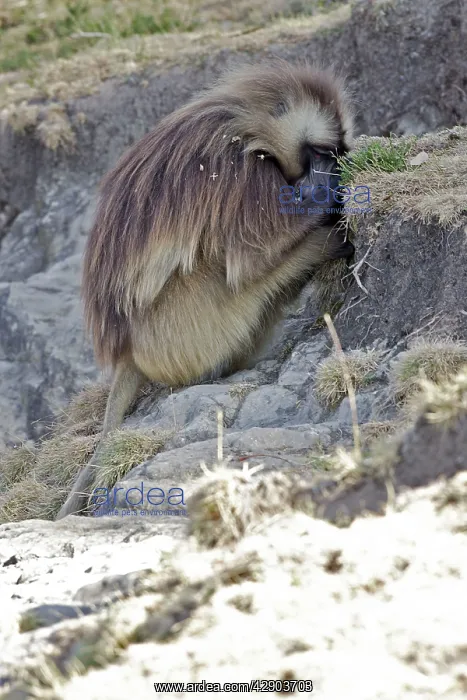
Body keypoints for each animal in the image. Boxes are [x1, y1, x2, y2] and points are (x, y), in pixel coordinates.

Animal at [56, 60, 355, 520]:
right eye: (321, 152)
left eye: (336, 152)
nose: (327, 177)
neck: (244, 126)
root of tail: (126, 352)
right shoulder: (244, 179)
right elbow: (249, 260)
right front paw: (327, 212)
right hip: (181, 331)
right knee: (228, 270)